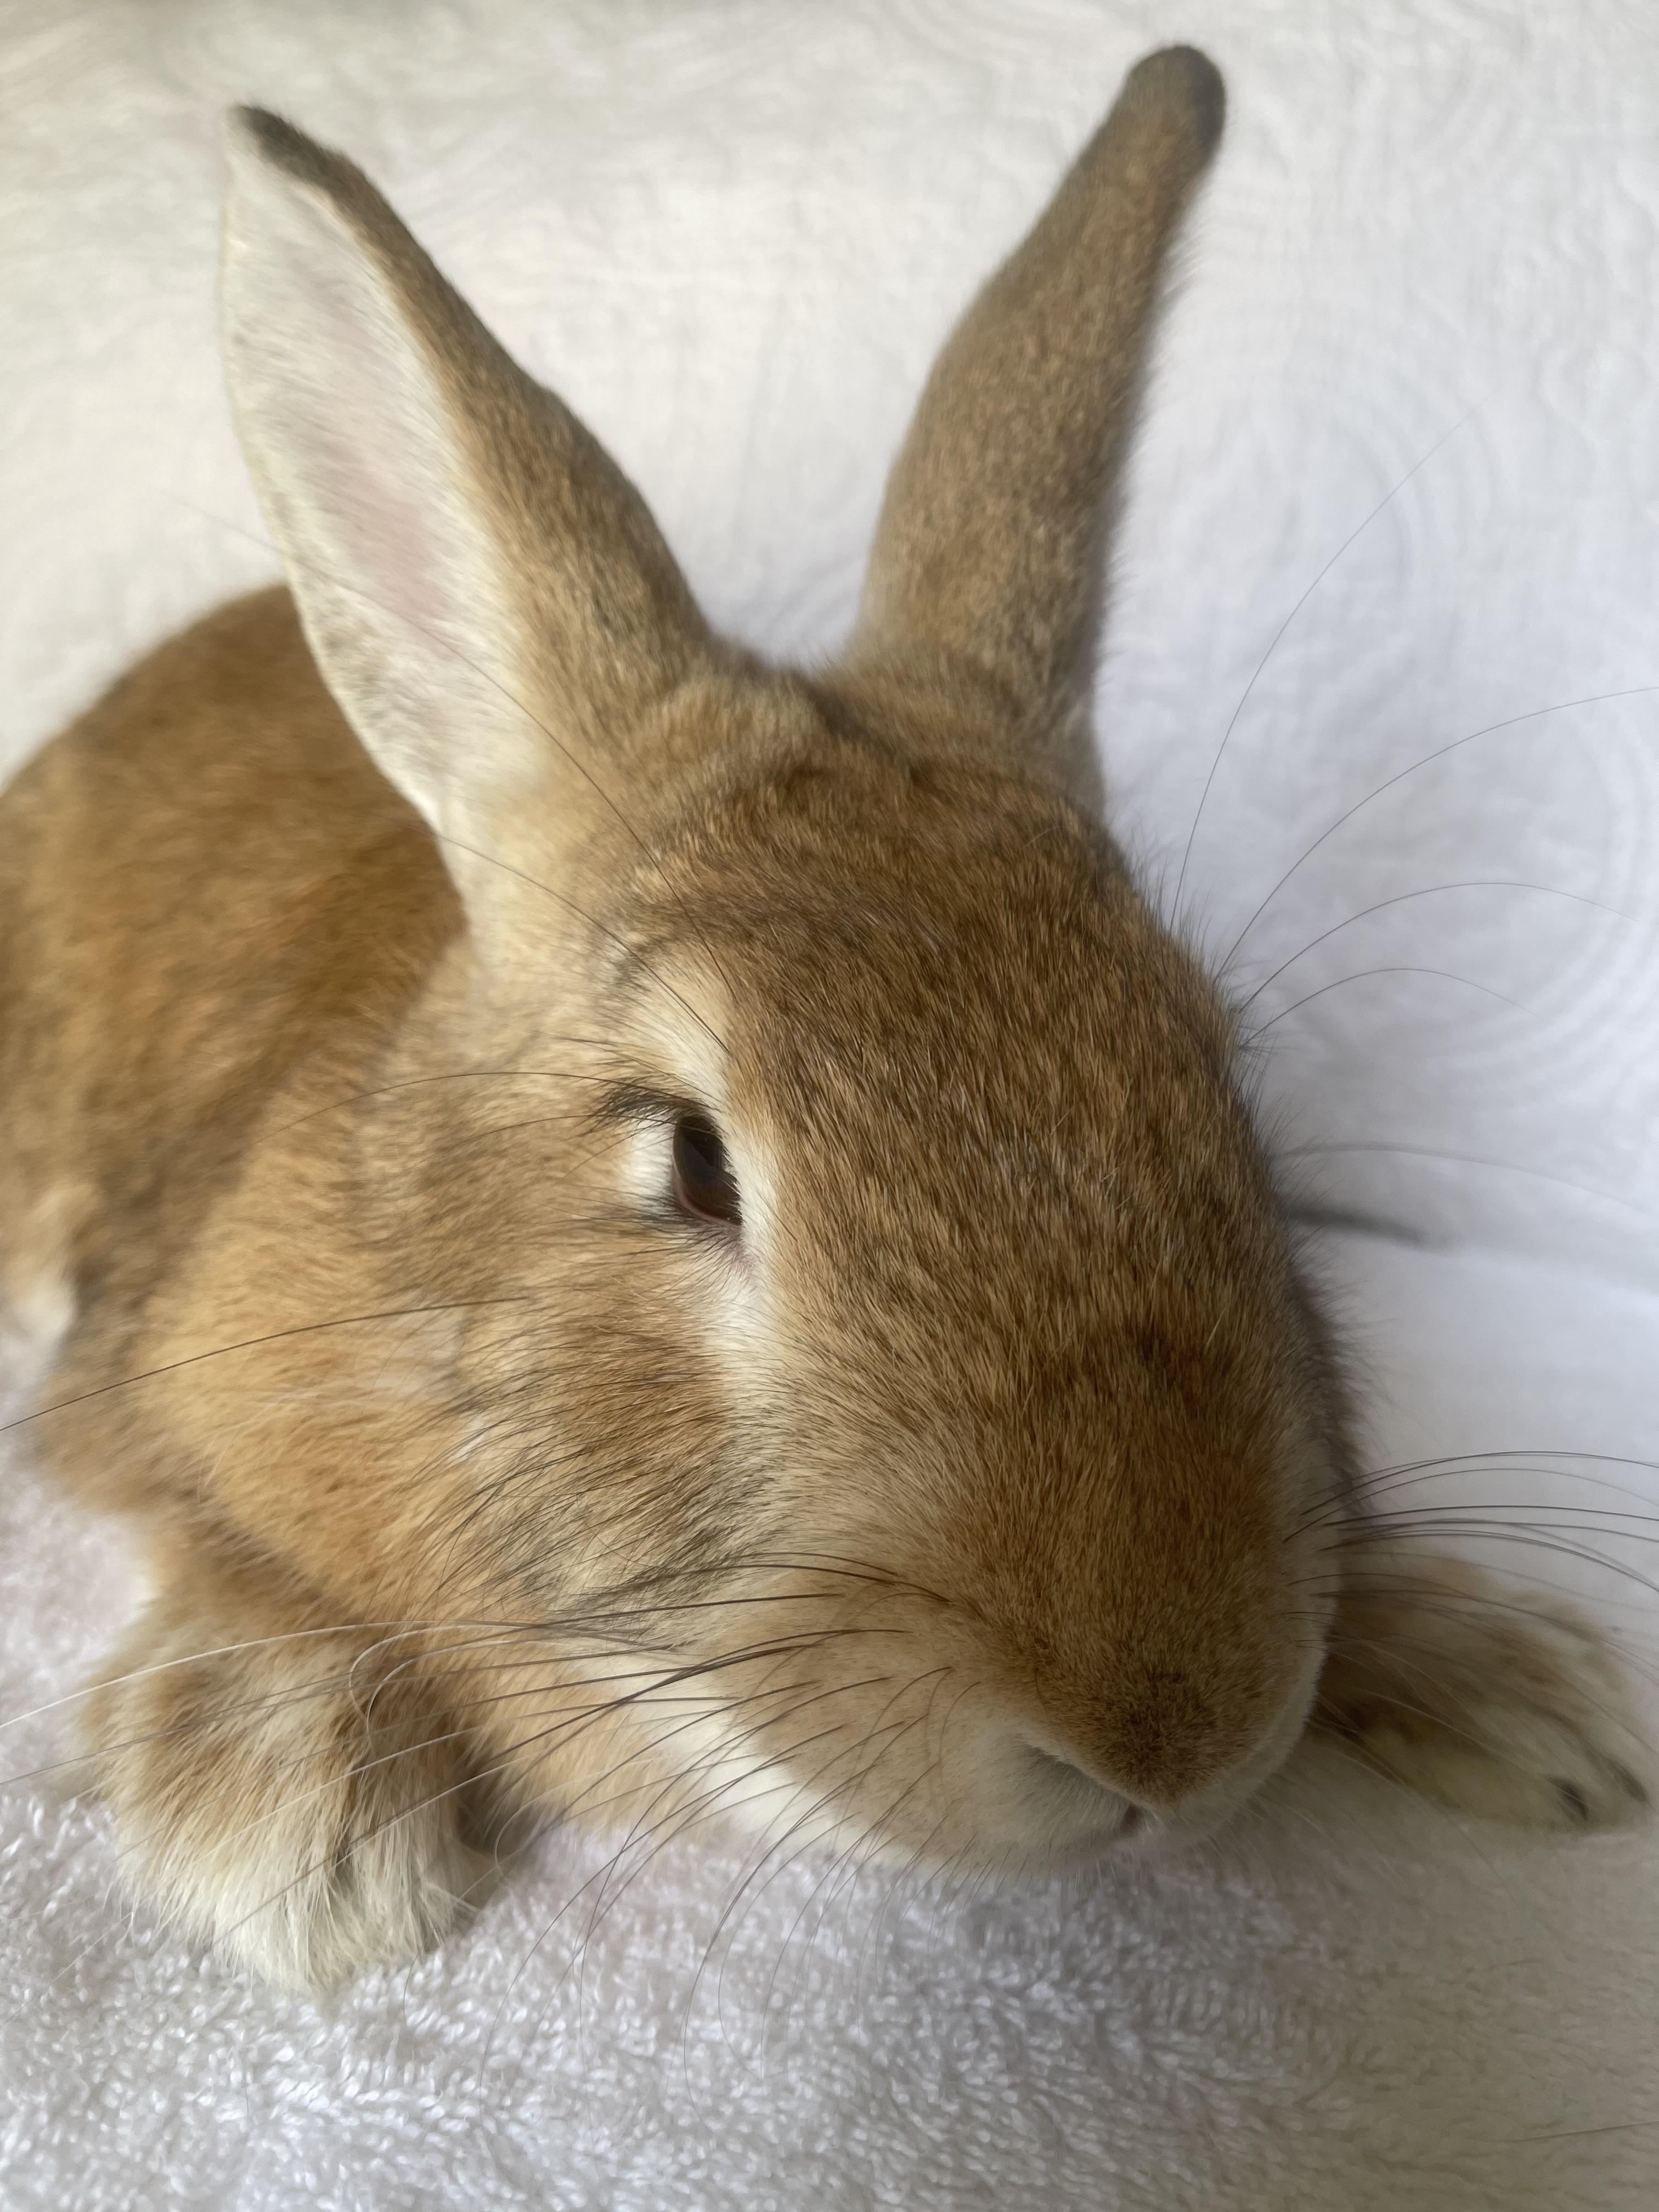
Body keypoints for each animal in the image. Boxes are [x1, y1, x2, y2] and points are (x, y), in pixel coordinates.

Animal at [0, 45, 1646, 1996]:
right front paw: (295, 1827)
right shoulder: (143, 1380)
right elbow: (205, 1530)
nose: (1173, 1728)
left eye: (1211, 1077)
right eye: (695, 1164)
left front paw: (1528, 1683)